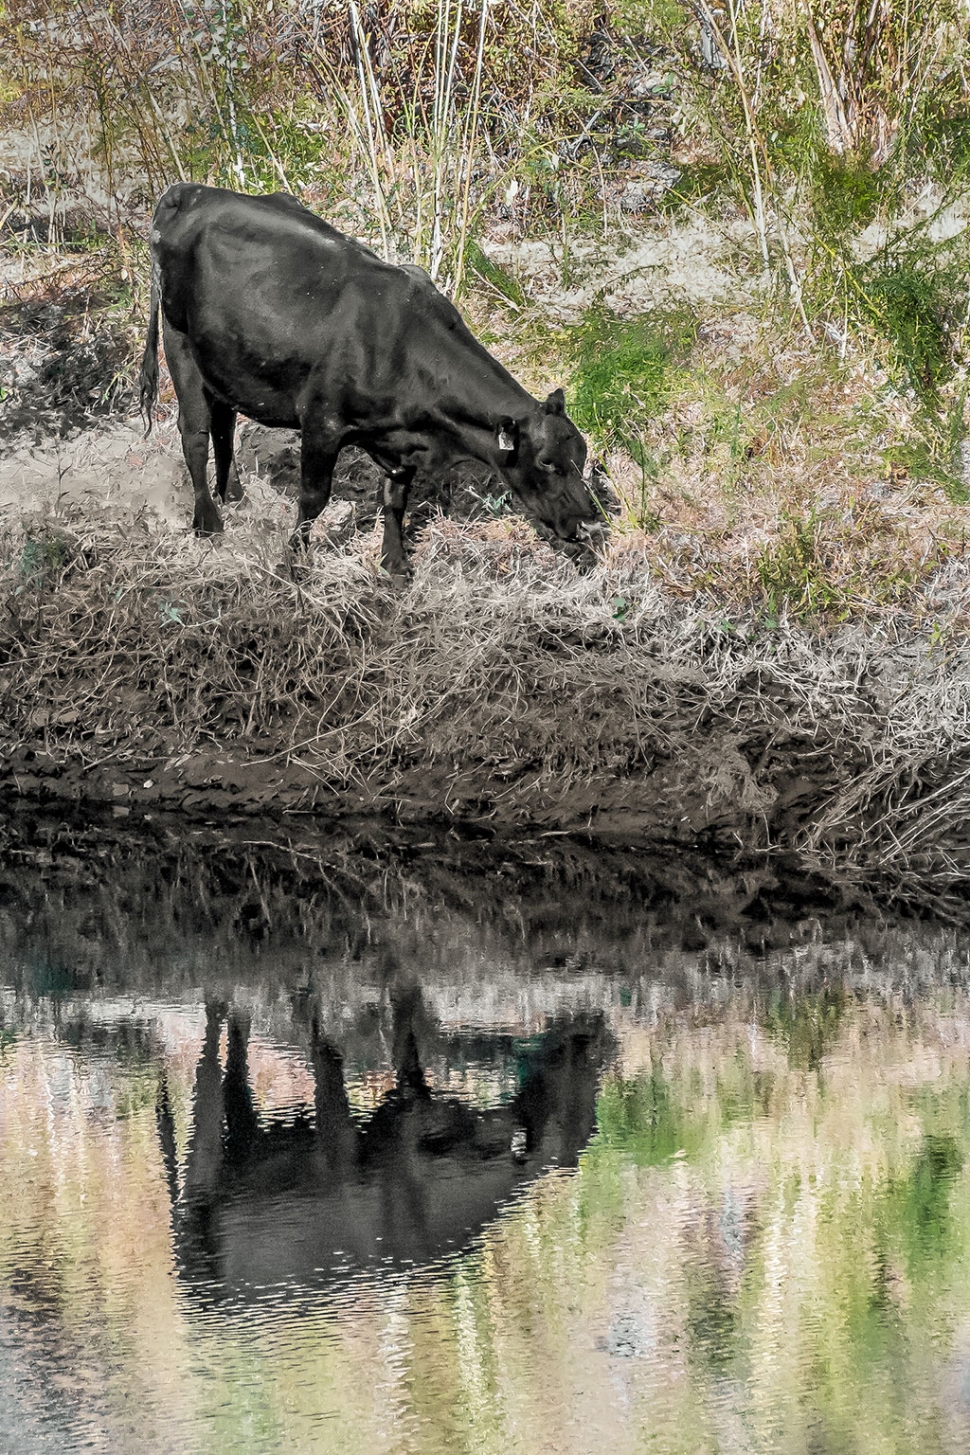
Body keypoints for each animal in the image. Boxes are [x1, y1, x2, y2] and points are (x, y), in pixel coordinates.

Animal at [140, 189, 602, 579]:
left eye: (581, 456)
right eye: (546, 461)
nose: (587, 521)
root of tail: (188, 191)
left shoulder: (399, 440)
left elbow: (395, 498)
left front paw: (394, 561)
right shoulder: (322, 424)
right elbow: (313, 498)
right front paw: (293, 562)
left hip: (225, 360)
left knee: (225, 423)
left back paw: (234, 494)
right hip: (178, 341)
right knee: (195, 434)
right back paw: (208, 522)